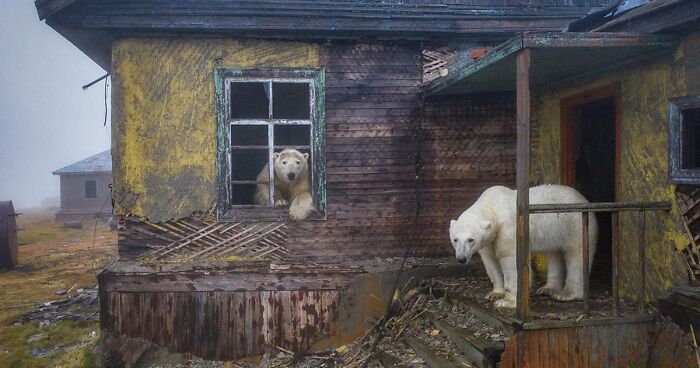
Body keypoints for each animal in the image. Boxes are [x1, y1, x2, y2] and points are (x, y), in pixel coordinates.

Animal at [448, 185, 596, 310]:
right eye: (455, 239)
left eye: (470, 239)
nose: (461, 259)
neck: (492, 207)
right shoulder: (489, 240)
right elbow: (490, 261)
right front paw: (495, 293)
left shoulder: (509, 229)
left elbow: (511, 260)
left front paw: (507, 301)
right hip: (556, 232)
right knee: (555, 253)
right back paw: (548, 289)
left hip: (574, 224)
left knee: (576, 256)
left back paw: (566, 294)